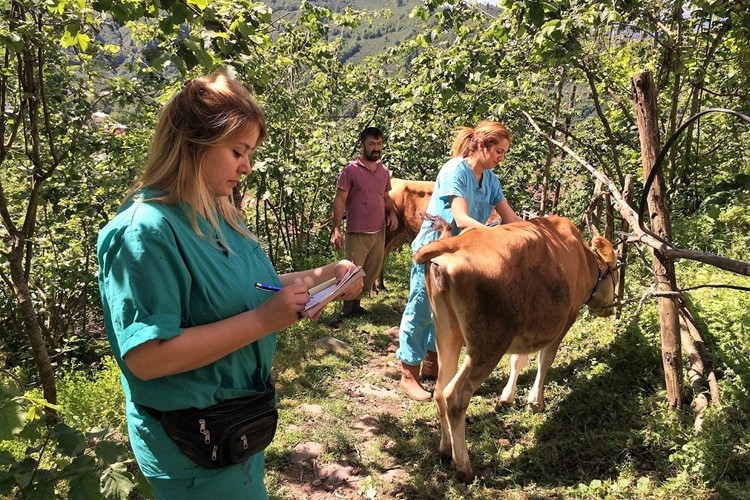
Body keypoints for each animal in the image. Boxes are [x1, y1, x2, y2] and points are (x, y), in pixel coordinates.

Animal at [414, 215, 620, 480]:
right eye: (616, 270)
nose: (612, 307)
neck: (583, 259)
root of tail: (456, 243)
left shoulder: (527, 329)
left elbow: (518, 360)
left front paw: (507, 397)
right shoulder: (565, 321)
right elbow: (545, 360)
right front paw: (536, 402)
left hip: (447, 333)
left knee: (440, 389)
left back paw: (445, 449)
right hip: (487, 345)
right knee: (455, 395)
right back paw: (464, 468)